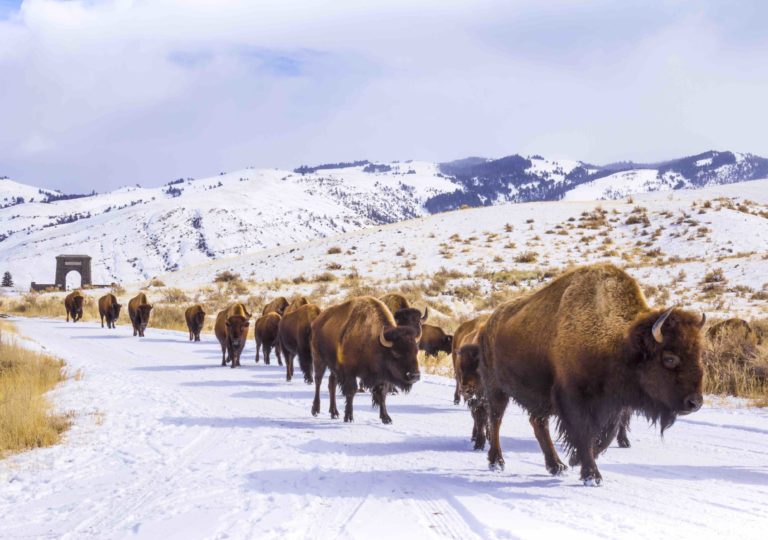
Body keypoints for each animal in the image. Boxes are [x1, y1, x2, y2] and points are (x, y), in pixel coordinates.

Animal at [480, 264, 708, 488]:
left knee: (537, 423)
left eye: (700, 354)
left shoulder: (612, 405)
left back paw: (556, 465)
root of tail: (488, 323)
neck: (618, 343)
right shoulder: (573, 399)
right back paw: (497, 461)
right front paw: (592, 476)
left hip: (539, 398)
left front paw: (575, 460)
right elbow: (584, 434)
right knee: (496, 420)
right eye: (669, 358)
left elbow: (606, 436)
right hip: (496, 388)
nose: (695, 402)